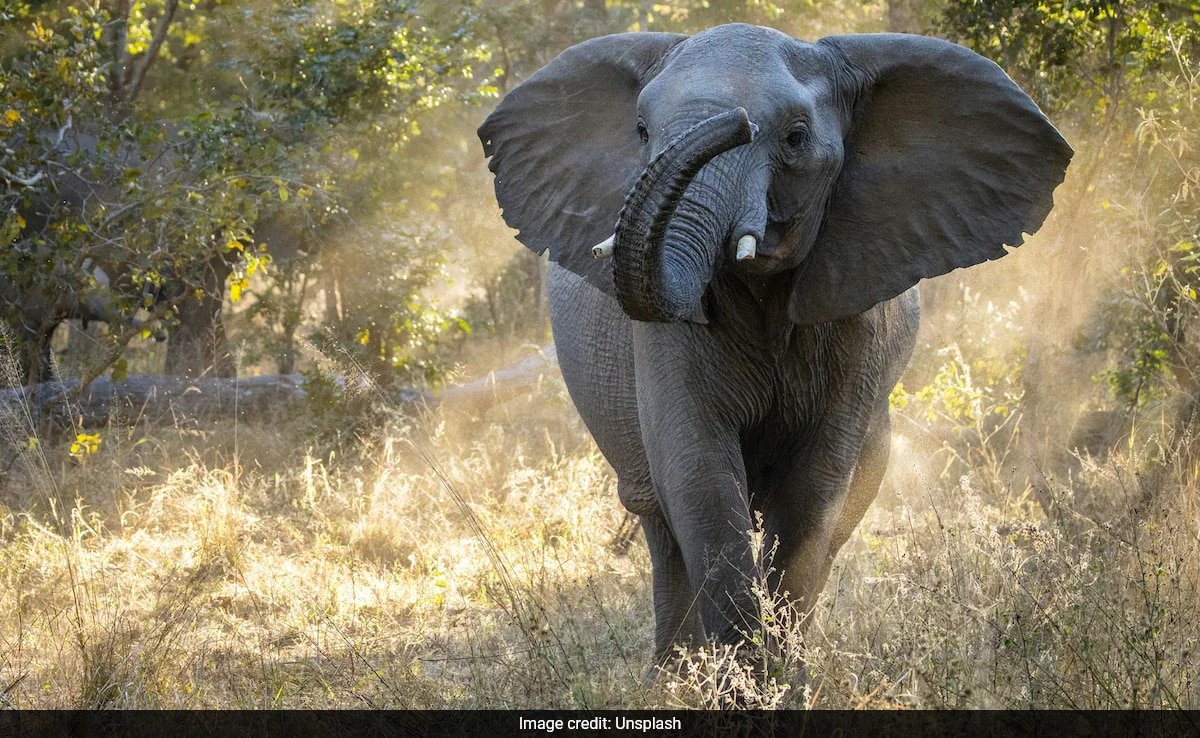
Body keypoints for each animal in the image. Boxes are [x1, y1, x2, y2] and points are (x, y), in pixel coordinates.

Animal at [477, 23, 1070, 672]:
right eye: (640, 131)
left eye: (795, 138)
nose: (733, 122)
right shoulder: (665, 336)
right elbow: (699, 476)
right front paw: (743, 682)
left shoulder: (858, 317)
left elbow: (813, 491)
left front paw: (781, 680)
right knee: (660, 522)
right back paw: (675, 677)